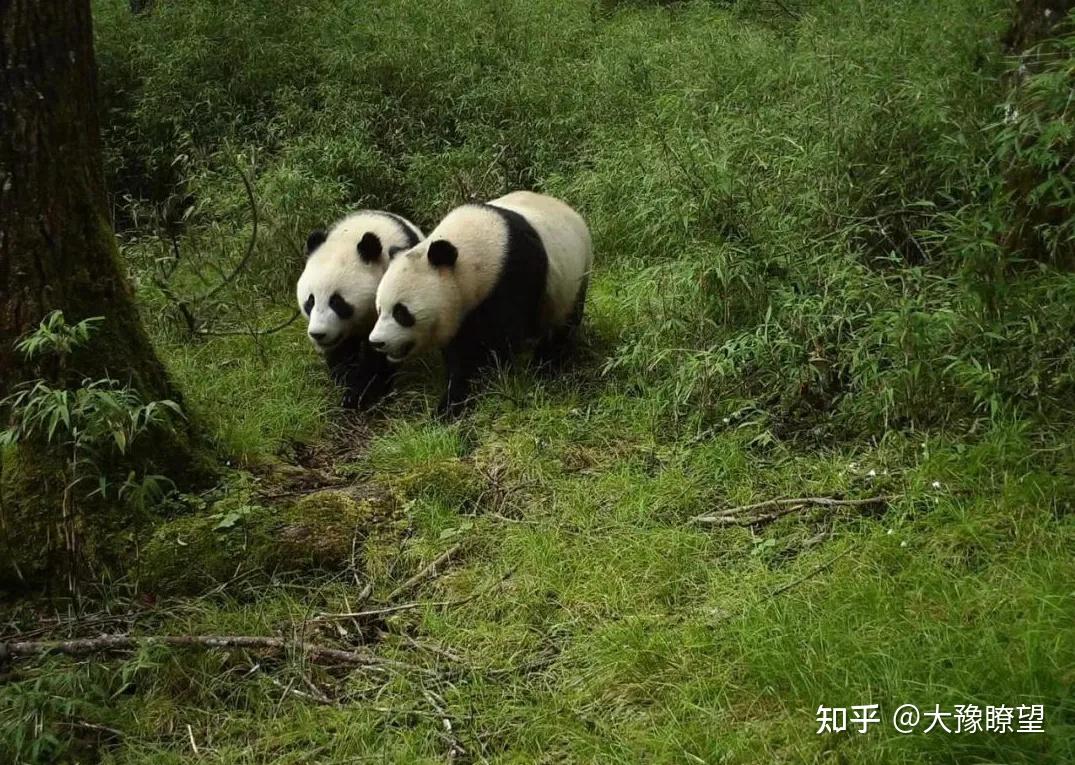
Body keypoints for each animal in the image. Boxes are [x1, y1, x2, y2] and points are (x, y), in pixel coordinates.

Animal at [301, 209, 425, 410]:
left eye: (337, 302)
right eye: (310, 301)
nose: (318, 334)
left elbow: (379, 356)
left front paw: (361, 394)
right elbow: (341, 351)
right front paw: (344, 381)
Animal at [367, 191, 589, 419]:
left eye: (401, 312)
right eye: (379, 309)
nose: (376, 342)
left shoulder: (515, 277)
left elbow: (498, 341)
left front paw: (489, 384)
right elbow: (459, 355)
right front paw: (452, 404)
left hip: (573, 279)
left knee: (561, 327)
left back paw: (546, 367)